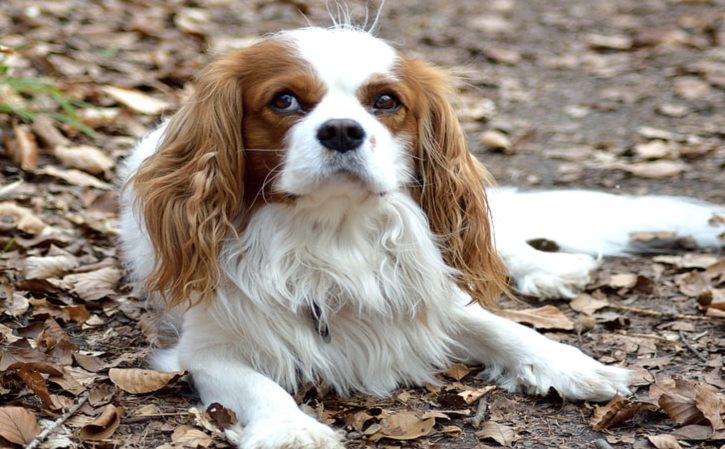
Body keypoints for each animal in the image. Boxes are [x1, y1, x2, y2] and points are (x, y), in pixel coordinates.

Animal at [120, 25, 724, 448]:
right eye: (284, 100)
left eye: (385, 101)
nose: (343, 131)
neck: (333, 231)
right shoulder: (205, 347)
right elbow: (257, 386)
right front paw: (292, 429)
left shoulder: (427, 293)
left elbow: (503, 327)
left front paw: (572, 364)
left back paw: (547, 269)